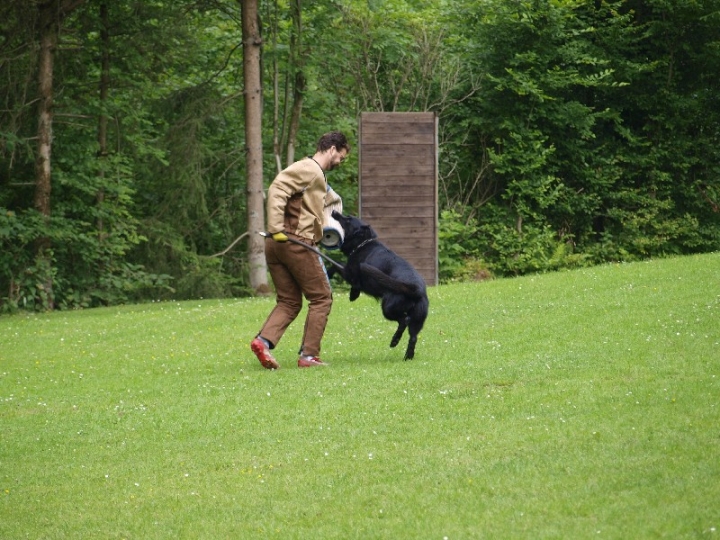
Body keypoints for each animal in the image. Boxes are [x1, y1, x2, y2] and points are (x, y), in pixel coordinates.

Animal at [330, 211, 428, 358]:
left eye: (348, 220)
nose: (334, 212)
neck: (362, 243)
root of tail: (416, 289)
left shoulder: (349, 272)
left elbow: (334, 265)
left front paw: (352, 293)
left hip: (387, 308)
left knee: (404, 320)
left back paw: (395, 340)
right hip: (417, 320)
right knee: (413, 336)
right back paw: (406, 354)